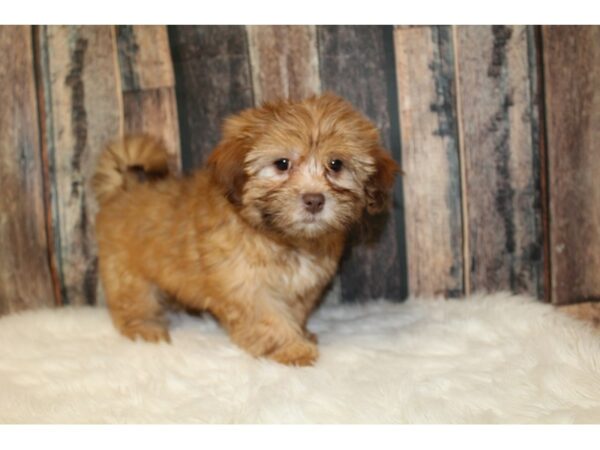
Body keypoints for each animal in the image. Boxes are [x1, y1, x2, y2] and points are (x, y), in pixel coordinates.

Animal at [92, 92, 398, 366]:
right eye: (282, 164)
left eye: (336, 164)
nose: (314, 200)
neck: (285, 238)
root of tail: (123, 189)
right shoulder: (246, 285)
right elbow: (269, 318)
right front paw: (292, 349)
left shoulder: (303, 287)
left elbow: (294, 311)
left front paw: (301, 334)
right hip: (126, 271)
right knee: (132, 301)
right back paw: (144, 329)